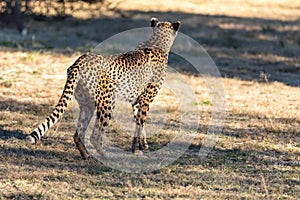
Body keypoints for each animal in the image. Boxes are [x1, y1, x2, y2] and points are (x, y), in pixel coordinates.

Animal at [26, 17, 180, 159]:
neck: (158, 42)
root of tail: (80, 60)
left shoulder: (137, 101)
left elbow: (139, 125)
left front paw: (138, 148)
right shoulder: (146, 99)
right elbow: (141, 124)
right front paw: (140, 149)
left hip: (87, 104)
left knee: (78, 133)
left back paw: (86, 155)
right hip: (108, 102)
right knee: (95, 135)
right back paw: (105, 156)